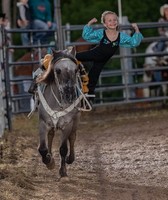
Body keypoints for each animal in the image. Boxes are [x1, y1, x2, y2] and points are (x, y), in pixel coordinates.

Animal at [36, 47, 84, 178]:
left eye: (76, 69)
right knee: (51, 136)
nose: (69, 94)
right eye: (57, 70)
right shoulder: (43, 123)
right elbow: (42, 148)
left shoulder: (67, 125)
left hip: (76, 121)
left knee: (72, 138)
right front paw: (49, 161)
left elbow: (63, 149)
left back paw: (70, 159)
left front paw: (62, 172)